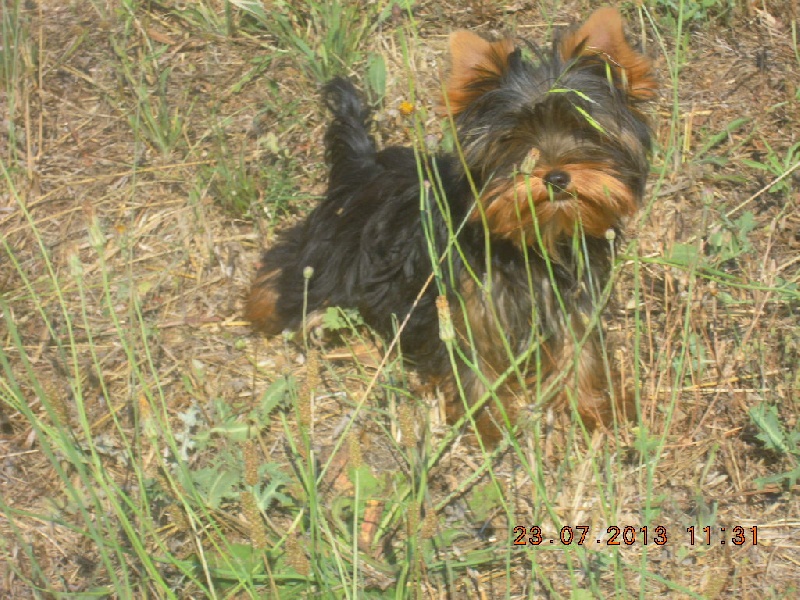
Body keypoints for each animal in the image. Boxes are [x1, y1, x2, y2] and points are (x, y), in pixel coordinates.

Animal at [248, 7, 656, 442]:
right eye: (513, 139)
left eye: (584, 129)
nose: (556, 177)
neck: (533, 242)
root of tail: (363, 162)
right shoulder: (461, 305)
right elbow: (468, 357)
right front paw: (489, 422)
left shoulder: (575, 293)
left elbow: (582, 344)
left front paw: (594, 407)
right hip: (333, 255)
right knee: (290, 271)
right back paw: (264, 307)